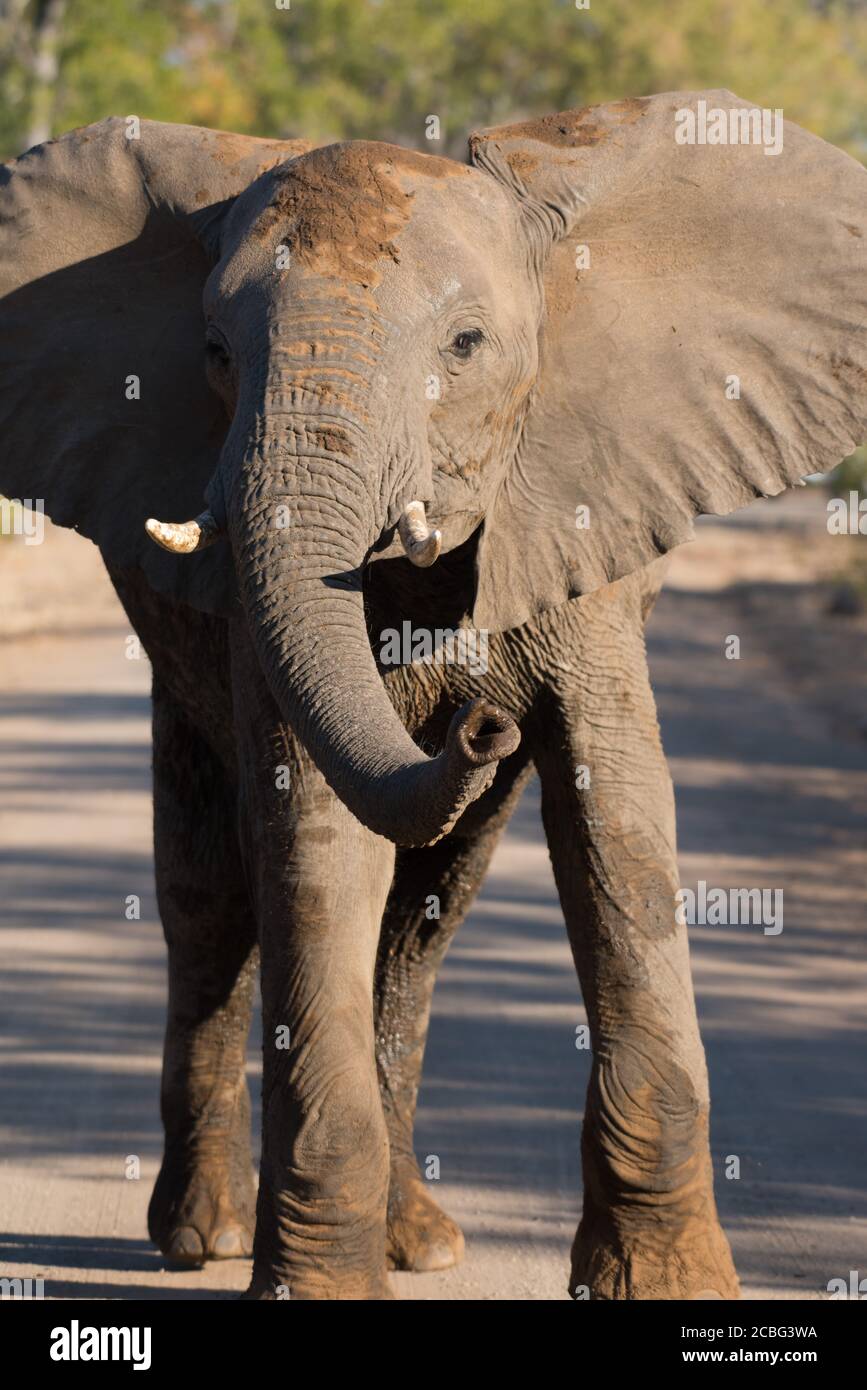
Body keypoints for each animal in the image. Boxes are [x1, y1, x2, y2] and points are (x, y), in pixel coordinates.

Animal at [1, 92, 867, 1295]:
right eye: (215, 354)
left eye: (465, 347)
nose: (482, 722)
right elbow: (315, 835)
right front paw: (312, 1283)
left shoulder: (581, 526)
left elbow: (617, 817)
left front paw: (669, 1283)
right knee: (210, 898)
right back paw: (202, 1236)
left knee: (422, 920)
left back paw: (421, 1240)